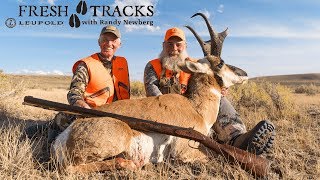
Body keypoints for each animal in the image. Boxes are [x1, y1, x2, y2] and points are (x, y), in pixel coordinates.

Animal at [52, 13, 249, 173]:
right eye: (221, 63)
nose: (245, 74)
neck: (195, 109)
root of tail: (67, 133)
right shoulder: (186, 151)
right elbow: (217, 156)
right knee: (70, 168)